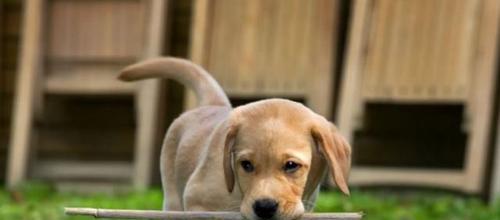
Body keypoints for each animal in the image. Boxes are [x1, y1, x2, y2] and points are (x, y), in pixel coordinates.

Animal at [118, 57, 350, 220]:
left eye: (291, 165)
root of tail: (214, 104)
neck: (239, 193)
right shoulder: (197, 201)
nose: (264, 208)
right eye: (246, 165)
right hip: (172, 200)